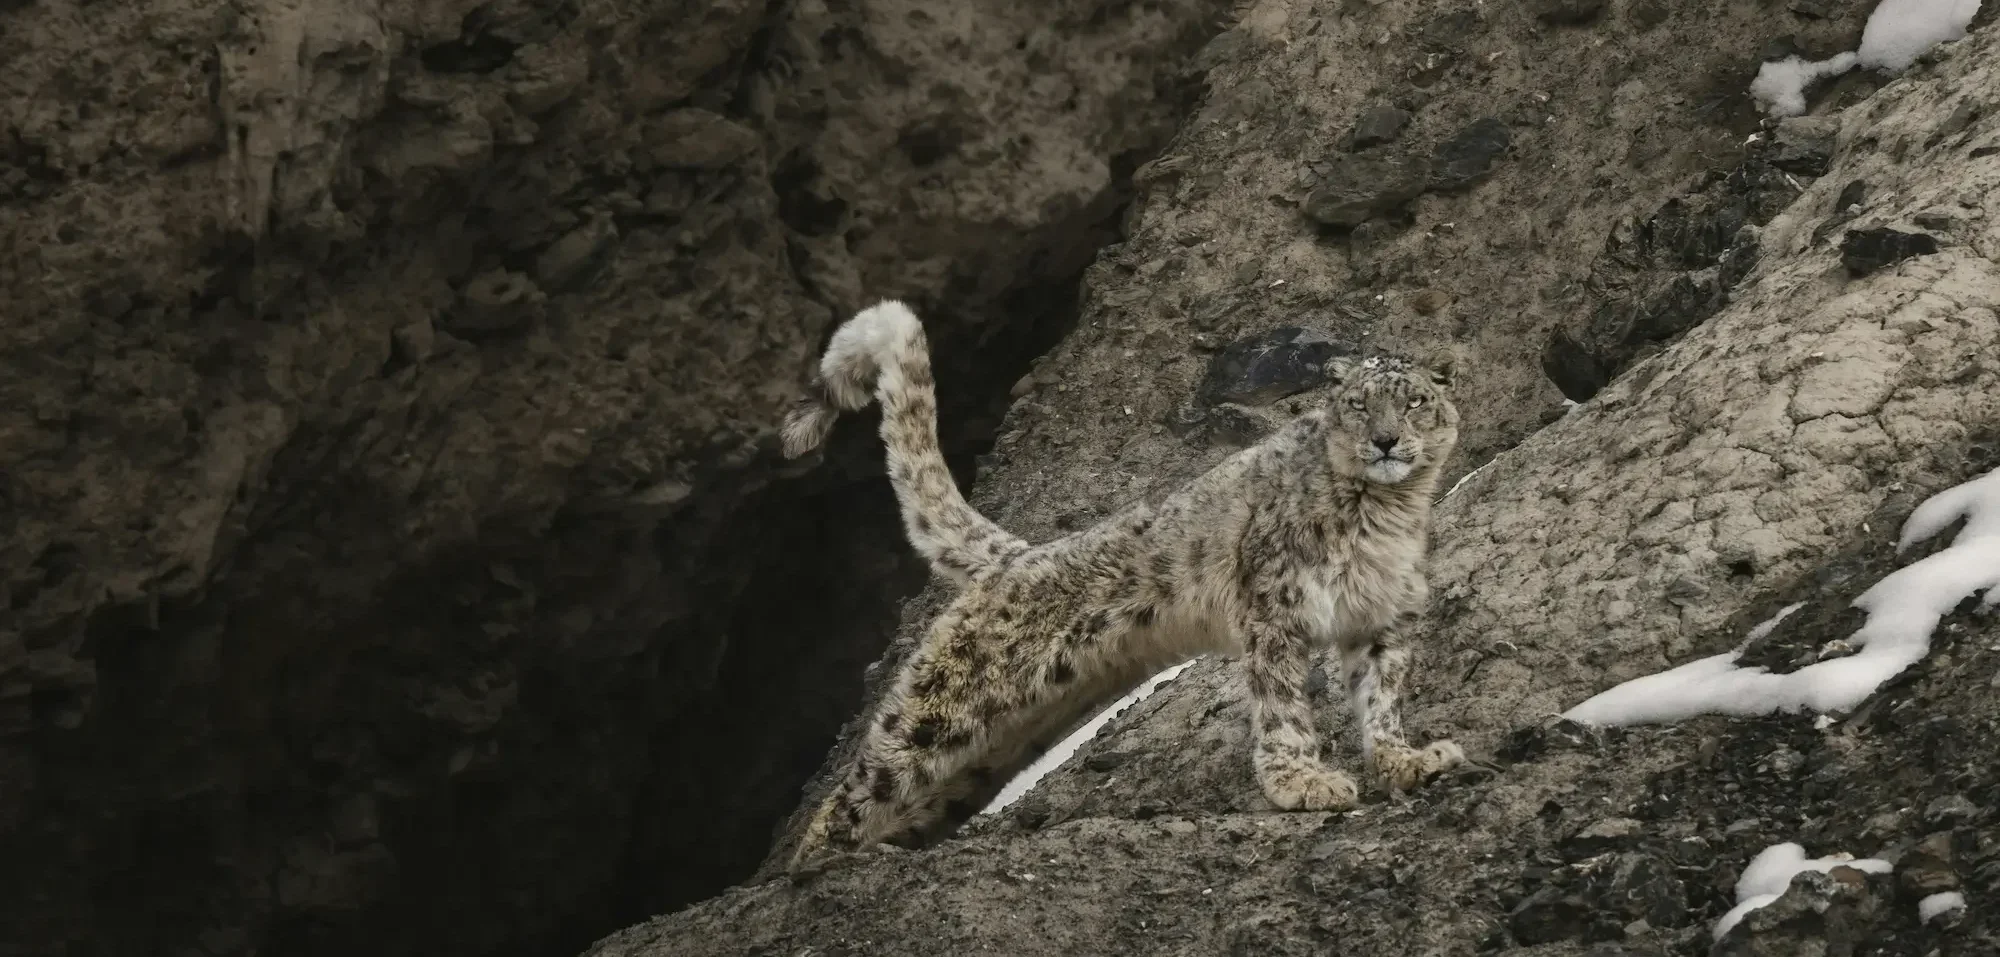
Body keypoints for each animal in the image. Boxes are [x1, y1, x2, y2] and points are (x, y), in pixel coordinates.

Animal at [779, 299, 1467, 868]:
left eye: (1413, 402)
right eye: (1359, 403)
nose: (1385, 439)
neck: (1387, 516)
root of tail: (1018, 556)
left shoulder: (1382, 622)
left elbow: (1381, 701)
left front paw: (1406, 761)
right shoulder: (1275, 611)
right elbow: (1282, 707)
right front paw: (1303, 782)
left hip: (1003, 742)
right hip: (946, 708)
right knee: (867, 778)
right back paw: (817, 867)